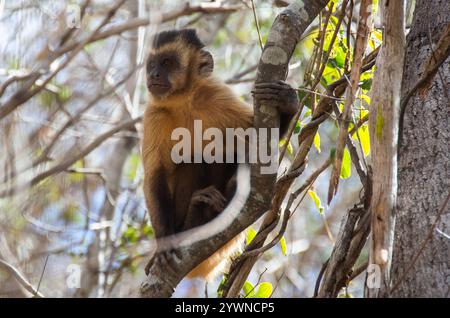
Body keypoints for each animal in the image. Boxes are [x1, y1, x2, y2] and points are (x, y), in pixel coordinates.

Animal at [143, 28, 298, 280]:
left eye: (167, 62)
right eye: (152, 64)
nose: (154, 74)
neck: (184, 101)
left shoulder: (219, 97)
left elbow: (256, 144)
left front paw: (288, 102)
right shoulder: (154, 114)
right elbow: (155, 174)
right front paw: (163, 245)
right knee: (193, 159)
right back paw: (192, 218)